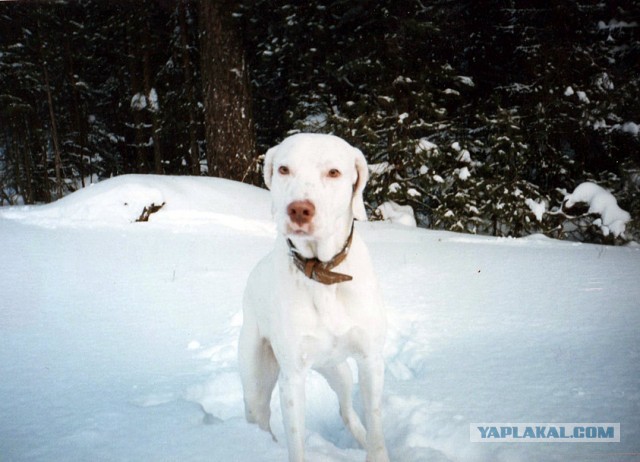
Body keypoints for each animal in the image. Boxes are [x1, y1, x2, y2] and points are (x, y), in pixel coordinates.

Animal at [240, 134, 390, 462]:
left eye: (333, 172)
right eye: (284, 169)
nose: (298, 210)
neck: (321, 273)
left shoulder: (371, 361)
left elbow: (376, 428)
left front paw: (375, 449)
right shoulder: (292, 378)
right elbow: (296, 444)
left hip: (339, 370)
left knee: (346, 410)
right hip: (256, 383)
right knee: (260, 420)